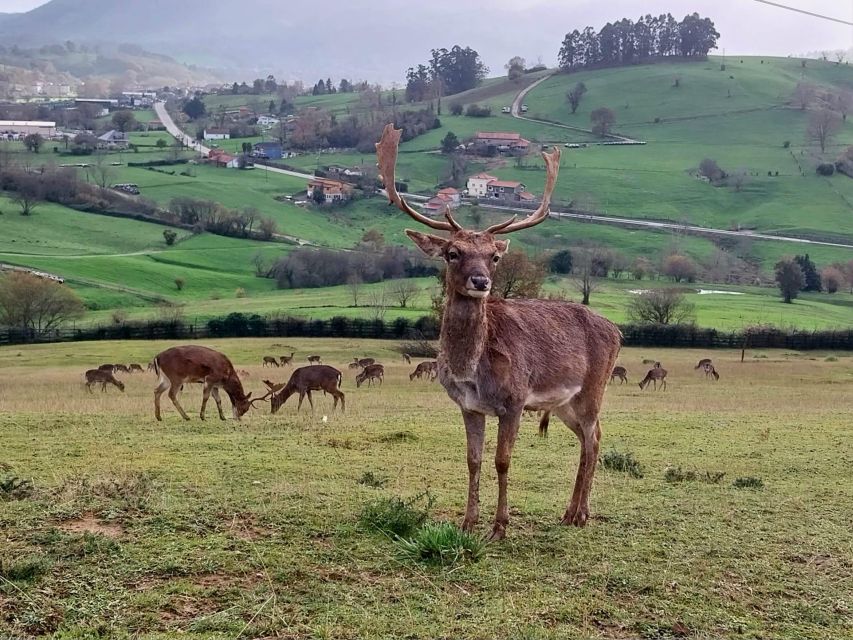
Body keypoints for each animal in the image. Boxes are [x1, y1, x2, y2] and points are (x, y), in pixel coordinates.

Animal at [376, 122, 624, 536]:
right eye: (453, 253)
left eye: (494, 256)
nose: (481, 281)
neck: (471, 370)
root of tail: (618, 332)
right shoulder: (468, 406)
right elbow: (473, 460)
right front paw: (468, 522)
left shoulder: (515, 399)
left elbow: (502, 460)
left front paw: (500, 526)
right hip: (564, 403)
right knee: (591, 439)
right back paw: (571, 512)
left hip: (593, 389)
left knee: (595, 438)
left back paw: (579, 514)